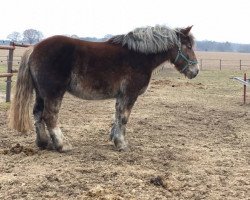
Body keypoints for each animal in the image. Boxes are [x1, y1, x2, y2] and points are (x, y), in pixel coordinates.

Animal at [8, 25, 199, 152]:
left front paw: (114, 139)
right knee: (49, 116)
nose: (195, 71)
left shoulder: (121, 96)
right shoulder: (130, 94)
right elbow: (124, 118)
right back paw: (62, 145)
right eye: (188, 46)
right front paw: (122, 144)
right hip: (53, 93)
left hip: (41, 93)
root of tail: (34, 48)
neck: (139, 56)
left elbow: (117, 116)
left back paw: (43, 143)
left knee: (37, 114)